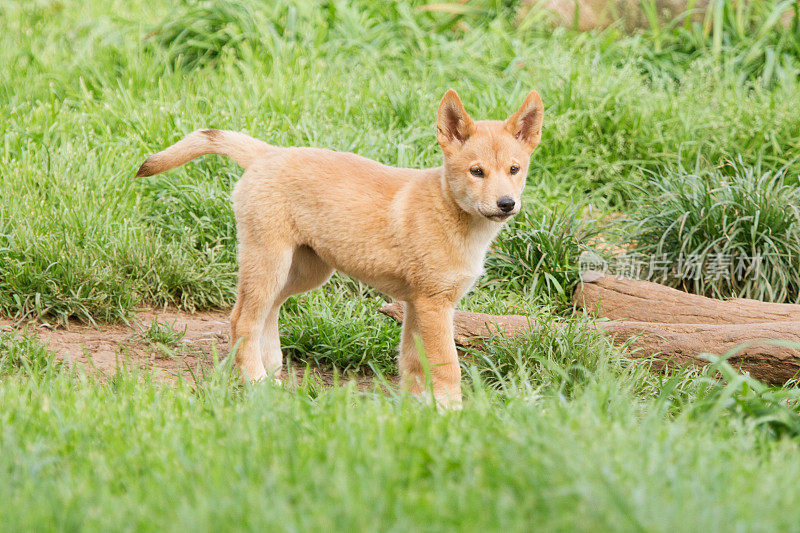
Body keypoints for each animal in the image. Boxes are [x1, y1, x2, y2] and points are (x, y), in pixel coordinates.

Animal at [138, 90, 544, 408]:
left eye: (514, 169)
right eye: (477, 172)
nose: (507, 204)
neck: (452, 214)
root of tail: (267, 154)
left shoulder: (417, 304)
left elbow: (414, 365)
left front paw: (417, 411)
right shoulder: (433, 304)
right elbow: (447, 367)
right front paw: (451, 415)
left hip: (304, 271)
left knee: (267, 312)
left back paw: (272, 373)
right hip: (269, 260)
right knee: (242, 319)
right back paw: (254, 381)